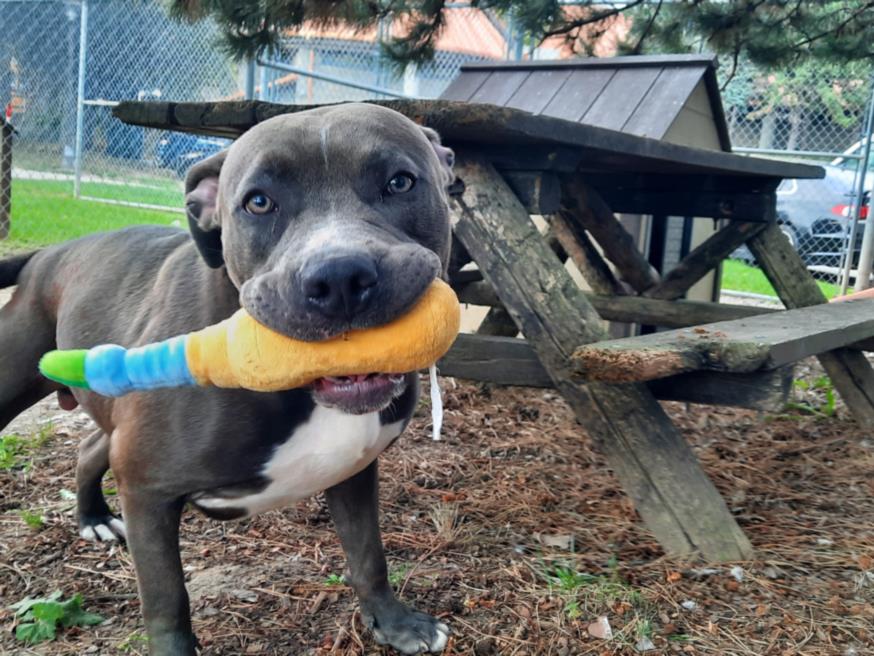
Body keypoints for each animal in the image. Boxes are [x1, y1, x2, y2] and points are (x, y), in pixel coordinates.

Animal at [1, 105, 456, 652]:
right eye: (258, 202)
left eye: (400, 182)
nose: (339, 277)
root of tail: (47, 253)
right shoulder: (148, 489)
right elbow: (167, 600)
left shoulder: (354, 470)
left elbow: (369, 553)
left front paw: (394, 622)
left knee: (91, 448)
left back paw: (93, 519)